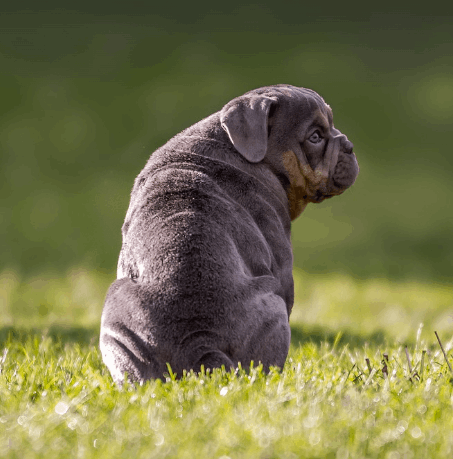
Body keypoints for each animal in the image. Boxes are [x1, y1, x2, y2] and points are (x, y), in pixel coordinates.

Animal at [100, 83, 358, 384]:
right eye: (315, 137)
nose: (349, 146)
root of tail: (199, 341)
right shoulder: (283, 268)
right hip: (273, 303)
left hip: (117, 318)